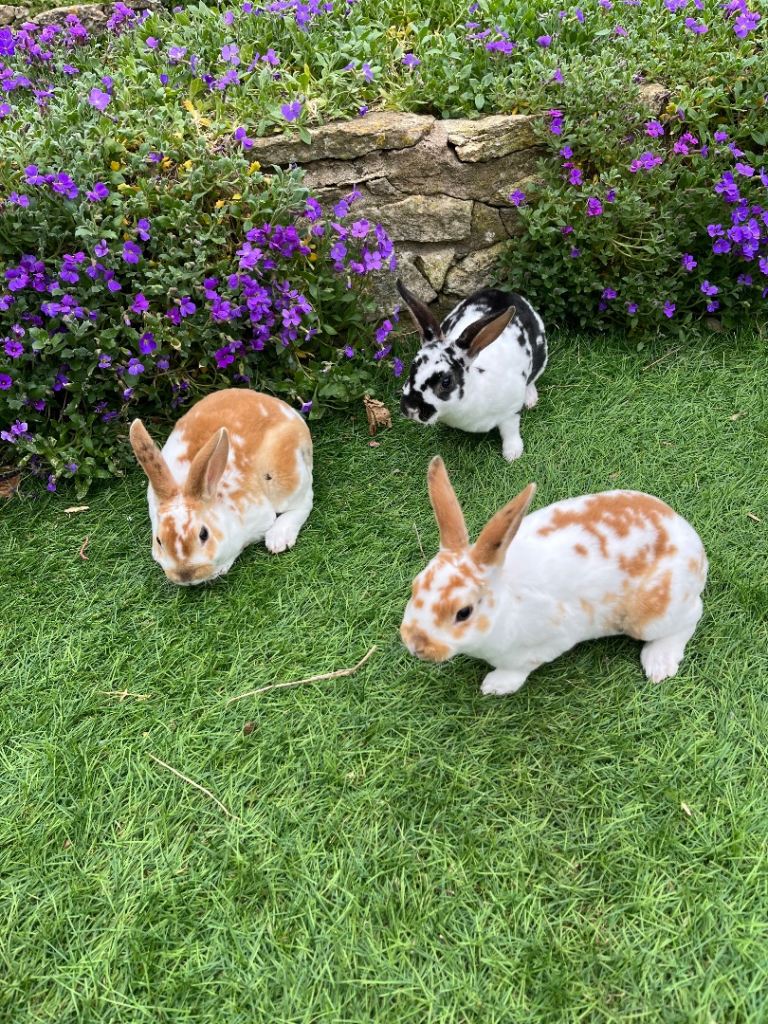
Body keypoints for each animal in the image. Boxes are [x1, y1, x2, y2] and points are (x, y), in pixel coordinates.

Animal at [129, 388, 313, 585]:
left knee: (305, 500)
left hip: (285, 478)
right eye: (159, 540)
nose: (186, 575)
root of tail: (288, 411)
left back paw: (278, 539)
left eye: (204, 534)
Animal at [397, 280, 547, 462]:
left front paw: (512, 454)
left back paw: (530, 399)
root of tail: (506, 293)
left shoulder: (511, 411)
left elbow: (510, 431)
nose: (409, 409)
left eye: (446, 382)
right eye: (413, 367)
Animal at [400, 457, 707, 696]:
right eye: (415, 586)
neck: (507, 603)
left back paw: (659, 663)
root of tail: (696, 548)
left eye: (463, 613)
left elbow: (517, 669)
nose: (415, 645)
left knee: (691, 617)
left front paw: (495, 686)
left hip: (652, 614)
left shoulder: (545, 644)